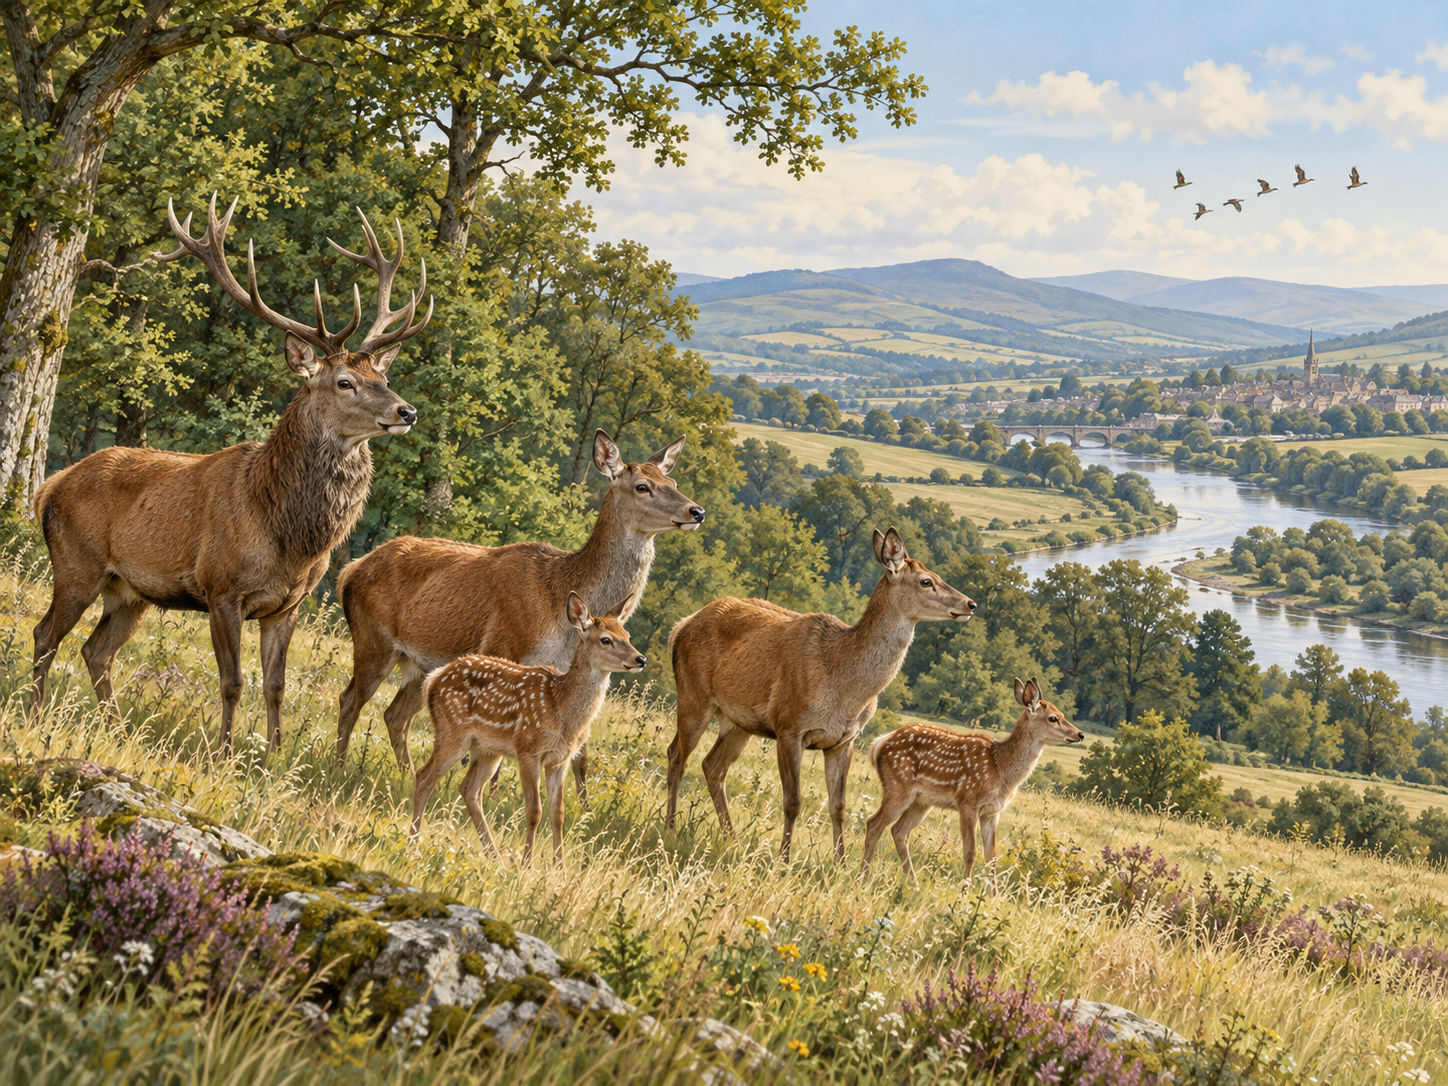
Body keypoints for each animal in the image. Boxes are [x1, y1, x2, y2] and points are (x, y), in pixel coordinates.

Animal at [30, 195, 430, 756]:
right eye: (345, 381)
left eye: (384, 375)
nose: (406, 411)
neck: (287, 534)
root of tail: (50, 486)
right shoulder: (221, 588)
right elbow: (233, 681)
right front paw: (222, 754)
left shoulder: (288, 605)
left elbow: (276, 685)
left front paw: (274, 758)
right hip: (75, 563)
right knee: (46, 636)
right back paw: (36, 714)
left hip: (129, 590)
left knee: (95, 651)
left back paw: (115, 729)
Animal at [334, 430, 704, 793]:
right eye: (642, 486)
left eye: (672, 482)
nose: (696, 511)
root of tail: (349, 571)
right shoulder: (504, 647)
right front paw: (492, 799)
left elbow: (579, 756)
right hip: (373, 641)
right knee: (350, 699)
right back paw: (338, 769)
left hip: (418, 663)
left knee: (396, 716)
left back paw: (405, 776)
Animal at [411, 592, 645, 863]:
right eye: (606, 640)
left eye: (627, 635)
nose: (640, 659)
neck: (561, 710)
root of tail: (433, 679)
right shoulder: (528, 750)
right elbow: (534, 811)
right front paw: (526, 864)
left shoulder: (560, 759)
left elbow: (558, 813)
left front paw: (559, 865)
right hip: (452, 731)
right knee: (424, 777)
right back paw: (413, 843)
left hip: (488, 750)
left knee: (469, 790)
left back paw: (494, 855)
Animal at [666, 527, 975, 862]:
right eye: (926, 581)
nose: (970, 604)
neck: (845, 691)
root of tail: (679, 626)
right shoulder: (788, 725)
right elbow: (793, 801)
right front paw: (784, 859)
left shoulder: (844, 740)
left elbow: (838, 806)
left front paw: (840, 861)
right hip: (693, 696)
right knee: (677, 756)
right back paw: (671, 827)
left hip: (739, 722)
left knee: (713, 767)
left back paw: (731, 838)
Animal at [861, 678, 1083, 885]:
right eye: (1053, 718)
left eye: (1064, 715)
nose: (1080, 734)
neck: (1001, 769)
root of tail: (879, 743)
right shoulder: (968, 802)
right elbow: (970, 853)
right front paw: (964, 890)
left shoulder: (992, 812)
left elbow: (991, 857)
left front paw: (993, 895)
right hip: (898, 786)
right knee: (874, 824)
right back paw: (864, 876)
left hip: (921, 802)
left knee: (899, 831)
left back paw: (912, 881)